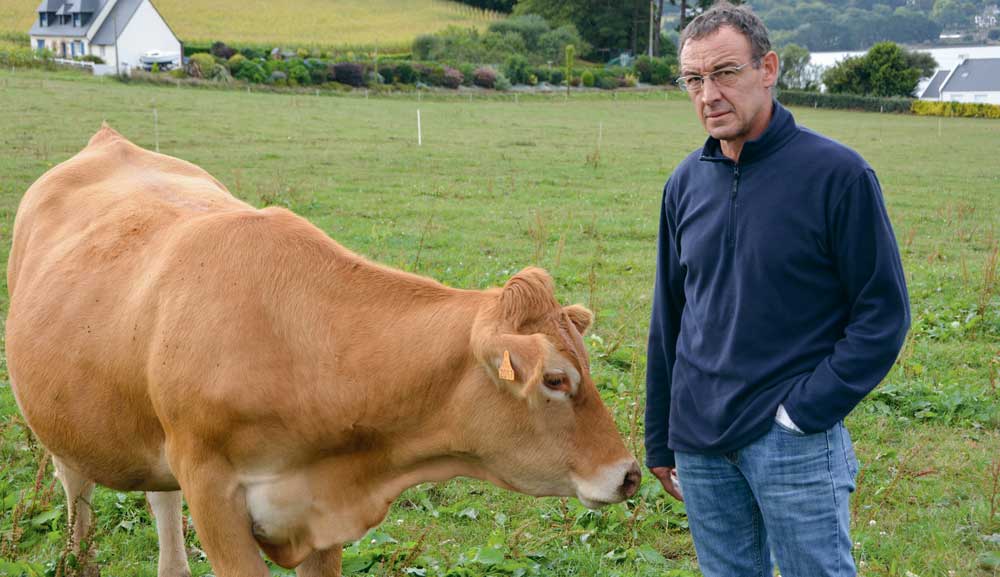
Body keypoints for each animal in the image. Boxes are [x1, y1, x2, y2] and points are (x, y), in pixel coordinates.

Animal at [5, 126, 640, 576]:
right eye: (555, 380)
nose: (630, 475)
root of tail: (108, 139)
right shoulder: (212, 492)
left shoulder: (321, 518)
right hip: (66, 427)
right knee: (77, 496)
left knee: (161, 510)